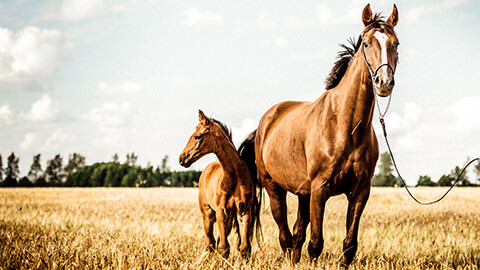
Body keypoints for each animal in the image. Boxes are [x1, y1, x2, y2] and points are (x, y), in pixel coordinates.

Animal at [179, 110, 260, 258]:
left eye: (197, 136)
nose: (181, 159)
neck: (234, 177)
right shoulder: (221, 211)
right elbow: (223, 248)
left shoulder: (244, 211)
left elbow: (244, 248)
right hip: (207, 213)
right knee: (210, 243)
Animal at [240, 4, 402, 266]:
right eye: (367, 43)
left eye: (396, 43)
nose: (384, 82)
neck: (345, 127)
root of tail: (266, 121)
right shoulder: (320, 189)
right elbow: (315, 244)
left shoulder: (360, 192)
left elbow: (349, 245)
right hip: (275, 188)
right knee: (285, 235)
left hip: (303, 193)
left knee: (297, 233)